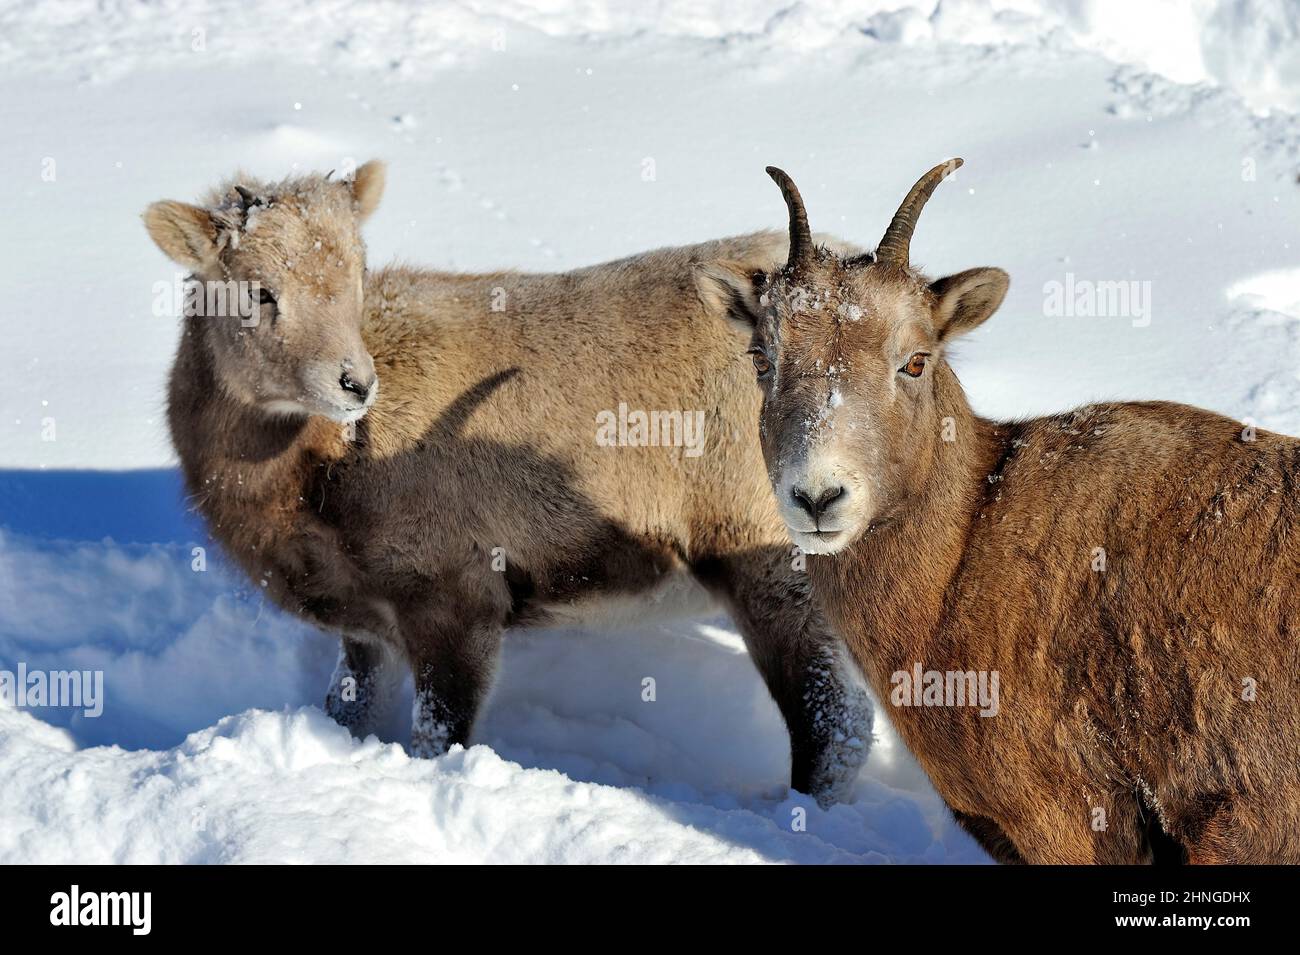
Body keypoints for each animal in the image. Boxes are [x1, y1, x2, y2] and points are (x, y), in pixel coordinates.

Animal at [142, 160, 873, 805]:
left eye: (356, 274)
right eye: (258, 289)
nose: (353, 383)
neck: (313, 477)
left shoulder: (454, 589)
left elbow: (438, 734)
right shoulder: (366, 622)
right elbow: (346, 710)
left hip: (770, 550)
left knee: (837, 721)